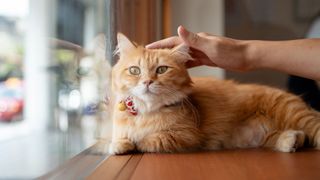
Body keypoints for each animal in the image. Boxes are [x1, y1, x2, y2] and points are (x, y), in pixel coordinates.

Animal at [108, 33, 320, 154]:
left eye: (161, 70)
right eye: (134, 70)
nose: (147, 82)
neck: (146, 111)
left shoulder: (186, 136)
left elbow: (149, 140)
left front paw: (134, 142)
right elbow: (120, 138)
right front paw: (120, 144)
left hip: (293, 113)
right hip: (265, 136)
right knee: (293, 137)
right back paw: (292, 141)